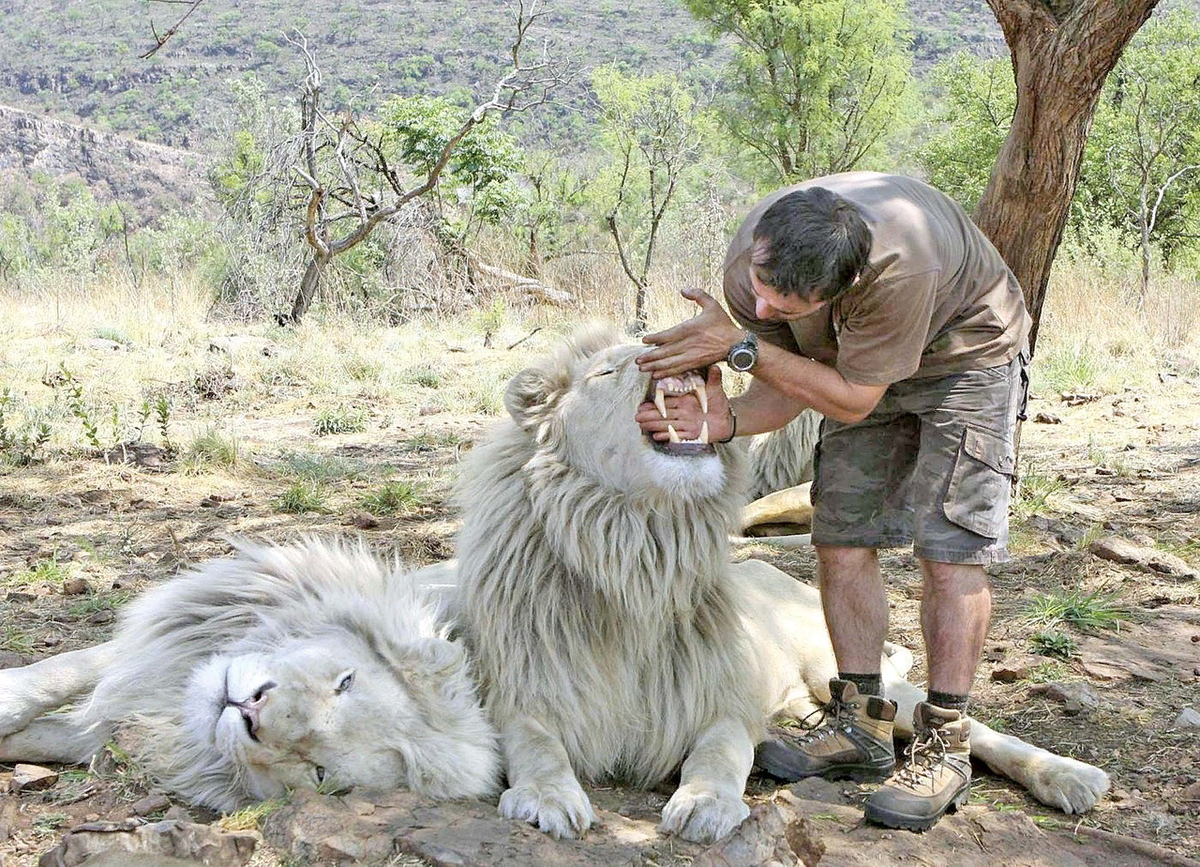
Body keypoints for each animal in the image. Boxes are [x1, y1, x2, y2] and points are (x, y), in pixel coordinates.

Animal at [451, 324, 1113, 845]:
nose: (673, 351)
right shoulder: (526, 690)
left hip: (839, 665)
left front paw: (706, 804)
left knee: (969, 727)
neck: (634, 549)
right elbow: (537, 747)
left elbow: (720, 753)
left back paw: (1070, 777)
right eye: (607, 369)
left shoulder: (719, 698)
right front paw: (548, 798)